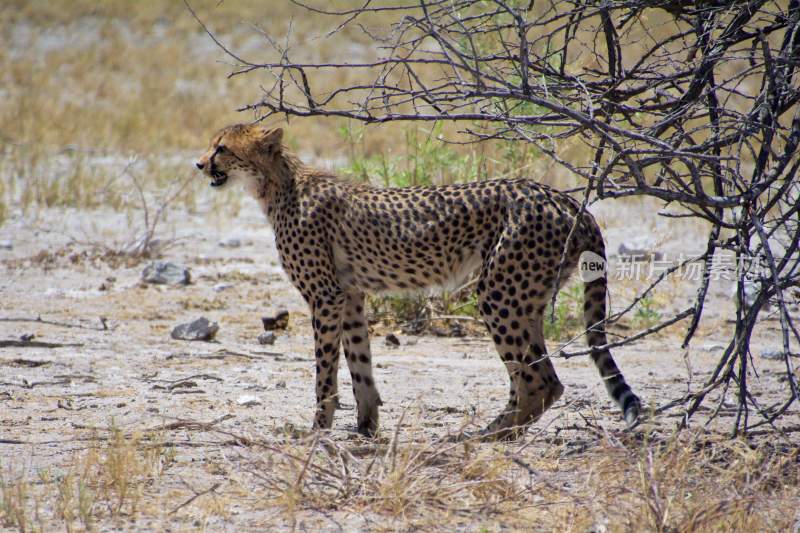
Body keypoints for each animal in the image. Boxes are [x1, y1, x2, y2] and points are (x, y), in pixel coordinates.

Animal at [197, 124, 640, 440]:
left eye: (222, 147)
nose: (199, 165)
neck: (278, 184)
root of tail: (568, 200)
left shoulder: (325, 296)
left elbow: (325, 370)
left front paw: (316, 430)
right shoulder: (351, 295)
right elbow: (360, 363)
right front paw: (366, 427)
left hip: (498, 293)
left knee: (541, 382)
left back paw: (485, 437)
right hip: (523, 296)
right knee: (533, 376)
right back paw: (496, 429)